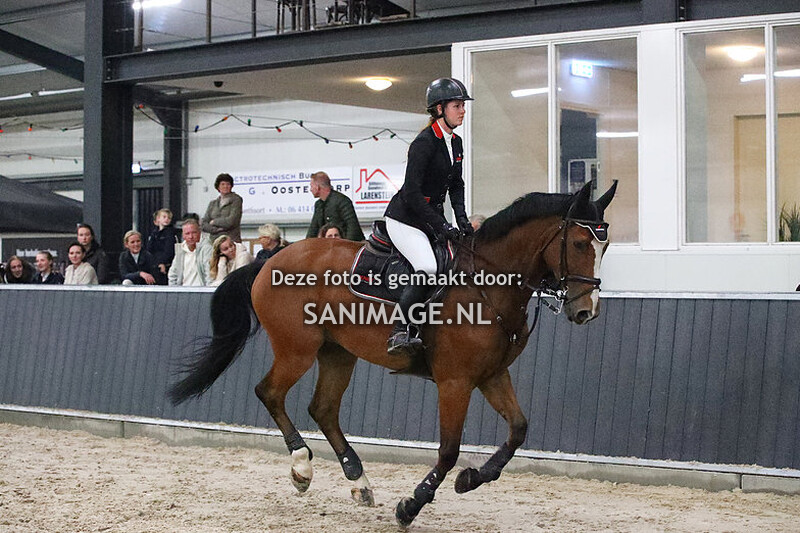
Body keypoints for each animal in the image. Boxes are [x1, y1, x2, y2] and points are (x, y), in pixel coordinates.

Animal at [169, 179, 617, 527]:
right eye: (581, 243)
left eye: (605, 245)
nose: (586, 311)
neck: (489, 285)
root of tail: (270, 258)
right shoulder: (455, 381)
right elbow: (449, 450)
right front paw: (412, 506)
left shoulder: (492, 376)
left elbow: (518, 430)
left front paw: (472, 479)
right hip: (297, 349)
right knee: (270, 393)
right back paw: (301, 467)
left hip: (337, 353)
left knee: (323, 408)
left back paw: (358, 482)